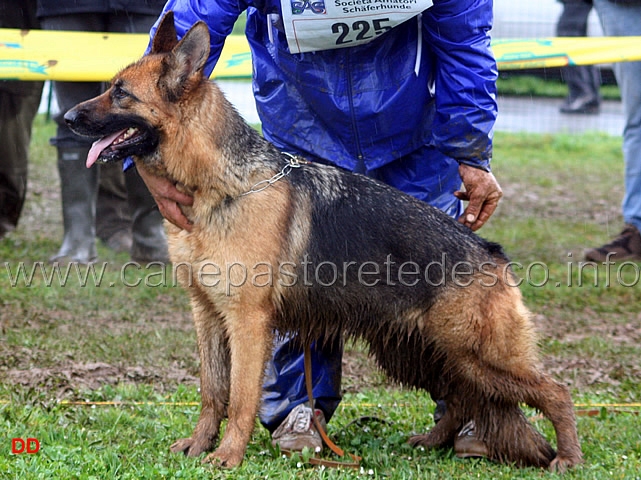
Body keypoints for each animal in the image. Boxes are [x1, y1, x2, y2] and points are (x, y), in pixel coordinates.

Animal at [63, 11, 580, 472]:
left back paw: (567, 458)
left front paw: (227, 456)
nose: (66, 117)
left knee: (555, 392)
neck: (221, 186)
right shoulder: (207, 315)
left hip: (477, 356)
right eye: (110, 86)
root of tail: (490, 253)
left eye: (121, 93)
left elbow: (241, 397)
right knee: (461, 398)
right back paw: (432, 442)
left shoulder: (248, 325)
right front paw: (198, 444)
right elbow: (212, 392)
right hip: (425, 354)